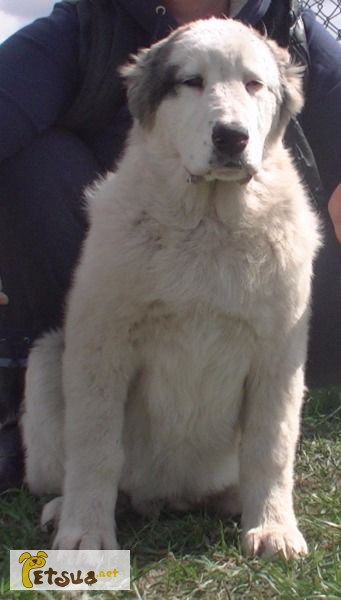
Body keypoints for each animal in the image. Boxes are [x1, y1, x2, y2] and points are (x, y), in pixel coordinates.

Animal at [21, 19, 318, 564]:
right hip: (46, 360)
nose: (232, 137)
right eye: (191, 82)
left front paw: (273, 528)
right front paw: (86, 534)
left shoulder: (279, 354)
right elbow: (96, 446)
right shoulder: (102, 343)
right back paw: (64, 508)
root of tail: (170, 497)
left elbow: (270, 446)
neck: (209, 220)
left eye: (254, 84)